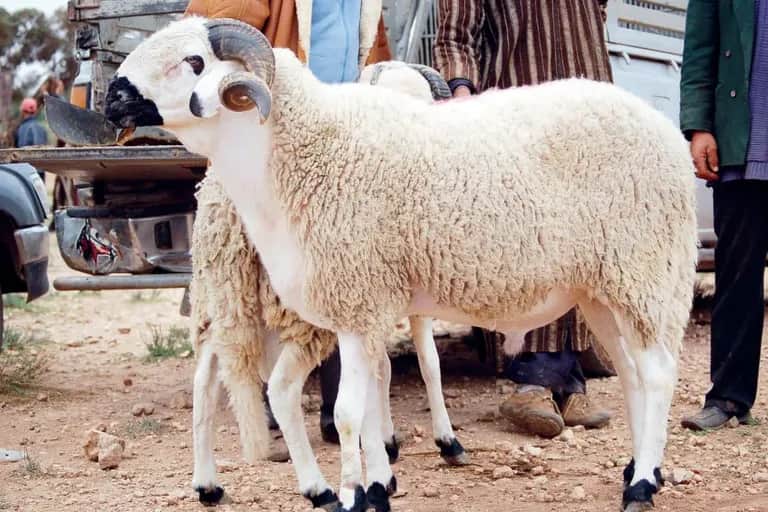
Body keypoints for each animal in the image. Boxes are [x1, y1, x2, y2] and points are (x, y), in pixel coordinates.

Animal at [104, 17, 698, 512]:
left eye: (194, 61)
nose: (112, 99)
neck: (299, 151)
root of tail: (666, 132)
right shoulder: (361, 307)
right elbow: (368, 400)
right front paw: (374, 486)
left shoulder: (360, 298)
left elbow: (351, 409)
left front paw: (354, 493)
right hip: (601, 287)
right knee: (633, 374)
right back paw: (635, 470)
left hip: (643, 269)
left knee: (659, 372)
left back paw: (643, 485)